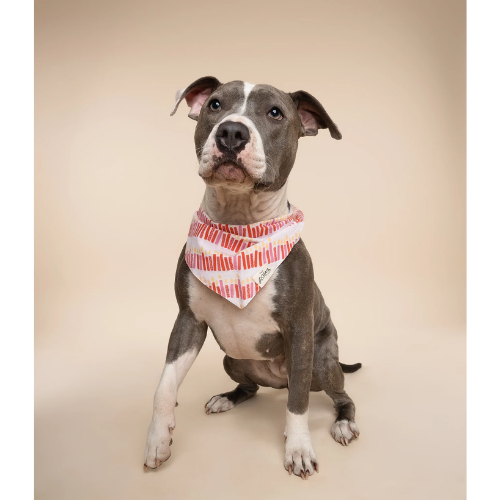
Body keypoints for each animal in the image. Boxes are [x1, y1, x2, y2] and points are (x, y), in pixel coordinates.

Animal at [143, 76, 362, 478]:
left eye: (275, 112)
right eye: (214, 105)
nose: (231, 131)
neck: (239, 230)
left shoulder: (299, 331)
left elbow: (298, 403)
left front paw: (299, 449)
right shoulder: (188, 321)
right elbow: (164, 386)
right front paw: (157, 439)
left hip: (322, 364)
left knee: (338, 395)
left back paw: (342, 422)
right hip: (232, 360)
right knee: (252, 389)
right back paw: (226, 399)